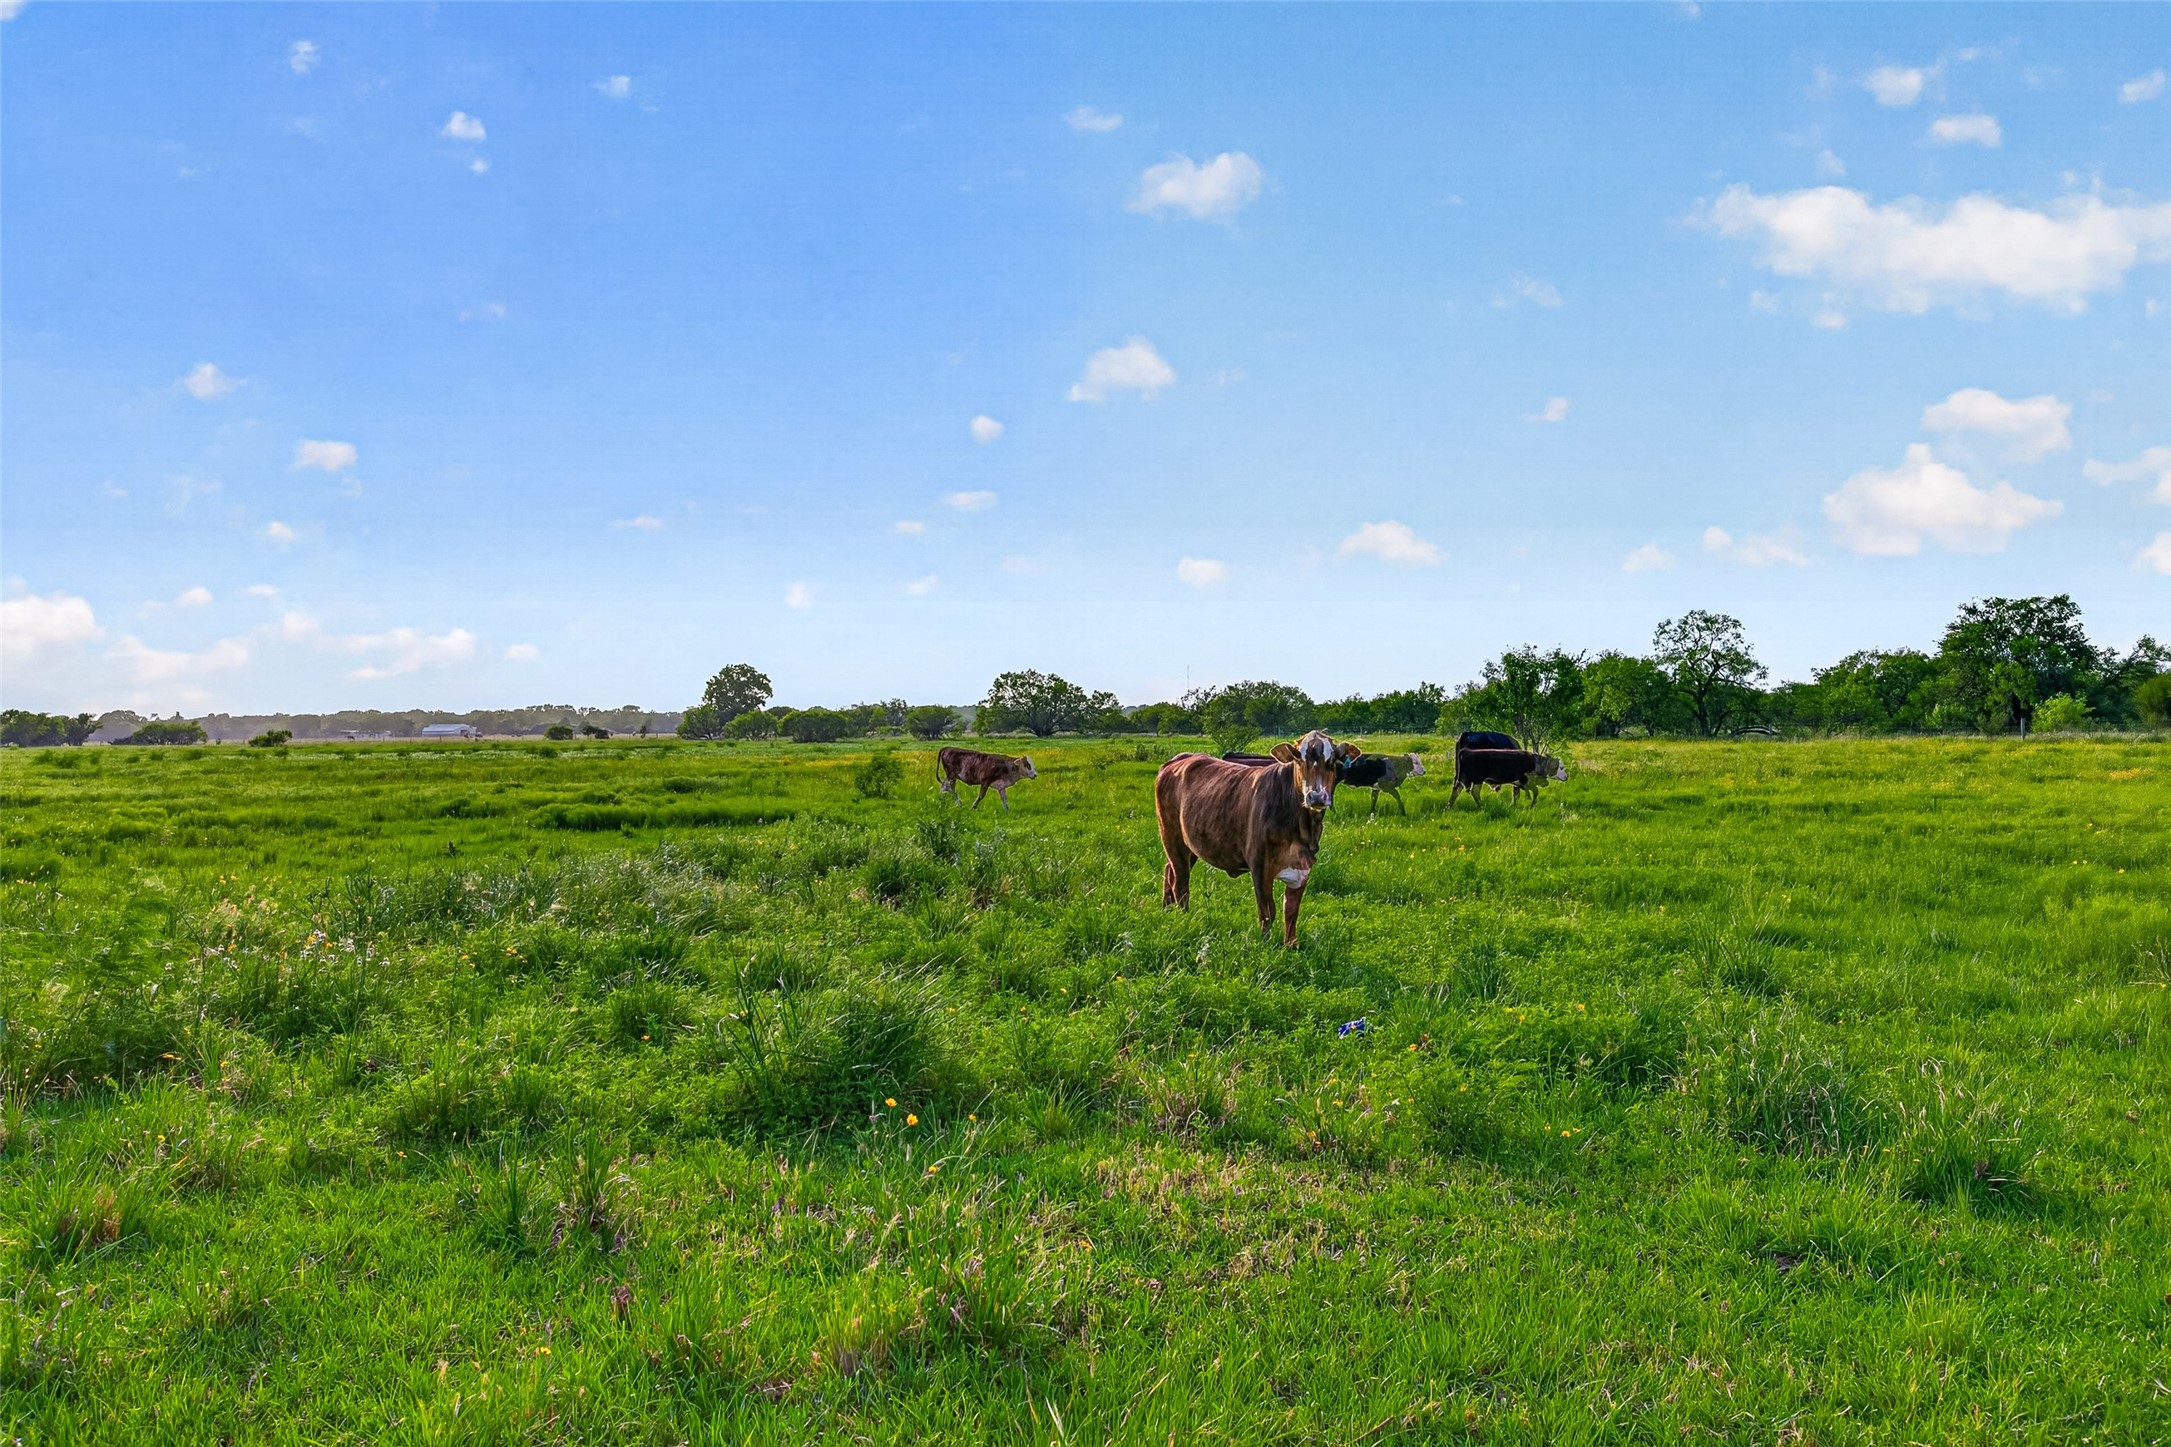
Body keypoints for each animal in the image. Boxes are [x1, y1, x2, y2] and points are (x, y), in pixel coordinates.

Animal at [1154, 730, 1359, 947]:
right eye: (1298, 759)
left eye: (1332, 760)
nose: (1317, 797)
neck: (1301, 827)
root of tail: (1179, 758)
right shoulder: (1260, 865)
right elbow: (1268, 911)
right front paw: (1266, 945)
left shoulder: (1303, 866)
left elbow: (1291, 911)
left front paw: (1290, 946)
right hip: (1172, 837)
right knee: (1181, 883)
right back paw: (1184, 917)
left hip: (1191, 844)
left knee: (1169, 872)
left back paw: (1167, 911)